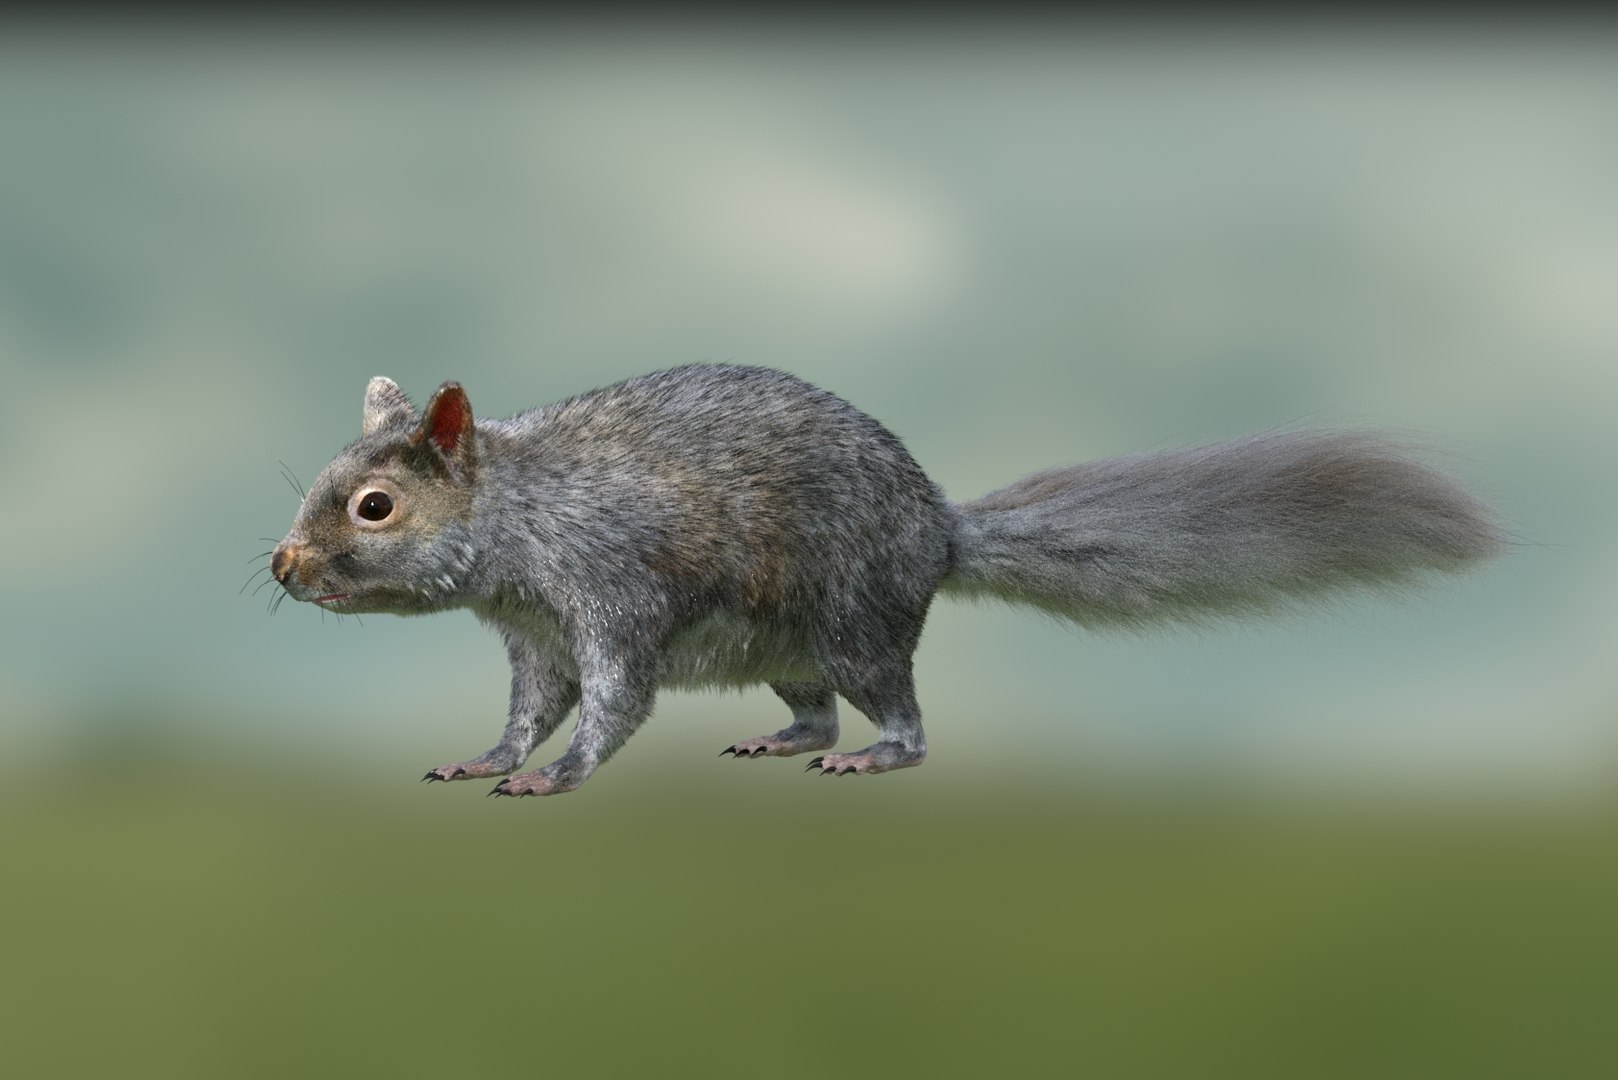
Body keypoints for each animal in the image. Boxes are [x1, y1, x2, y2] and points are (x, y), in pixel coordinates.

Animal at [268, 364, 1501, 797]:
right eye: (323, 478)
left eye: (374, 506)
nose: (283, 566)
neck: (525, 519)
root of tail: (938, 530)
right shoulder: (534, 632)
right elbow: (531, 707)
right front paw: (488, 758)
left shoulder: (613, 594)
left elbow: (612, 703)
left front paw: (553, 778)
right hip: (786, 649)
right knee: (812, 712)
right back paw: (783, 740)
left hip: (857, 626)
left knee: (901, 723)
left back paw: (870, 756)